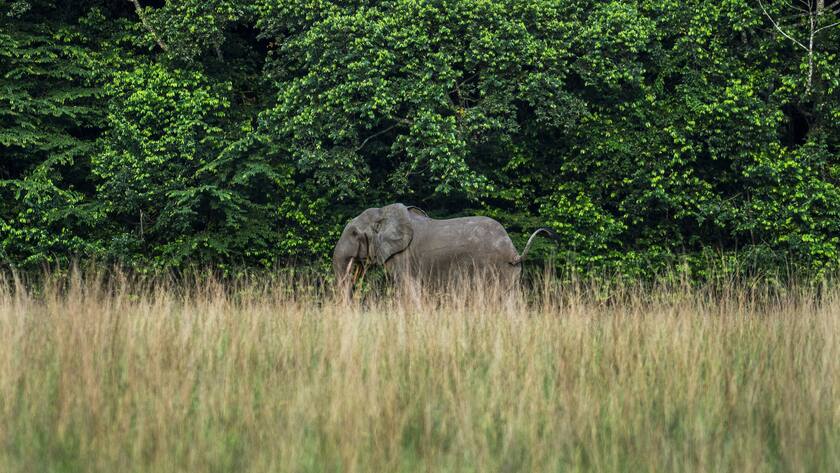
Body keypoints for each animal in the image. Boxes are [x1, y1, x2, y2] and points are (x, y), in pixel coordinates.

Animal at [332, 203, 560, 297]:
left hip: (491, 269)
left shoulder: (403, 257)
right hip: (510, 273)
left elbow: (407, 288)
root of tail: (513, 251)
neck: (384, 213)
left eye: (354, 233)